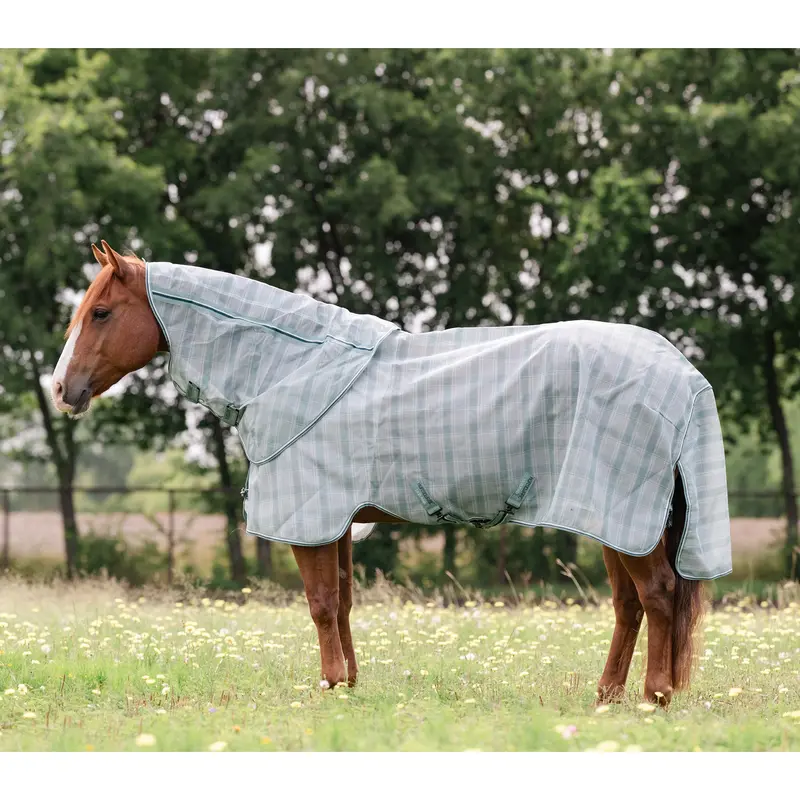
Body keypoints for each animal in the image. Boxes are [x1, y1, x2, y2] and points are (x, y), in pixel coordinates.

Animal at [52, 241, 731, 706]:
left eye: (102, 312)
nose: (61, 389)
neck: (289, 367)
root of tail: (682, 373)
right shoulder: (339, 522)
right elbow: (343, 600)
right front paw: (349, 684)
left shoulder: (312, 517)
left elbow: (322, 603)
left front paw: (329, 685)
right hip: (613, 516)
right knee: (630, 605)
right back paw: (607, 696)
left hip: (624, 513)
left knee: (658, 595)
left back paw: (654, 696)